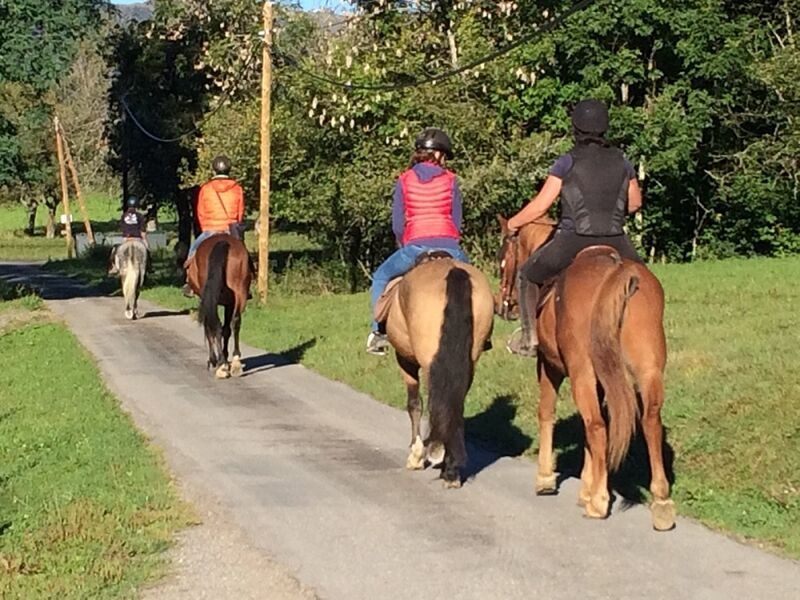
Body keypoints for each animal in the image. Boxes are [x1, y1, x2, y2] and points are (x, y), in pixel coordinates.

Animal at [186, 232, 252, 378]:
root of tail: (222, 242)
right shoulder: (229, 303)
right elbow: (227, 329)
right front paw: (226, 357)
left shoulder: (205, 300)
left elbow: (209, 326)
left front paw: (214, 360)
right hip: (239, 292)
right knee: (235, 322)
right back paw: (235, 362)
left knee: (214, 324)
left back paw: (221, 364)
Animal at [376, 256, 494, 488]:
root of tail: (454, 272)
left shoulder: (405, 360)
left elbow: (414, 404)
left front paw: (416, 456)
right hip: (469, 360)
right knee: (453, 404)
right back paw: (451, 469)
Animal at [494, 217, 676, 528]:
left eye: (503, 262)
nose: (502, 306)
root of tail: (618, 272)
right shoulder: (601, 378)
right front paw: (586, 487)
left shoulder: (549, 366)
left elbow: (547, 413)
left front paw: (546, 479)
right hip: (648, 370)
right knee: (649, 422)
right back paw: (661, 502)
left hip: (581, 373)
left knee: (598, 426)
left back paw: (599, 502)